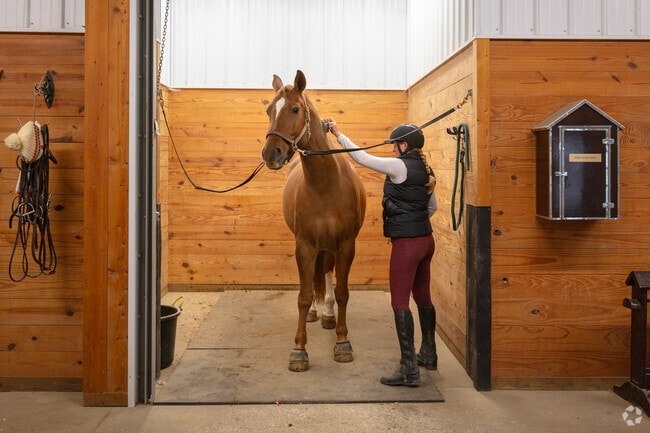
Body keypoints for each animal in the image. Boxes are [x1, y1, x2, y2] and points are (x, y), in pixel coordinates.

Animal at [262, 70, 366, 372]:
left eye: (295, 109)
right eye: (269, 110)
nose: (271, 154)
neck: (325, 184)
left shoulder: (346, 245)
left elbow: (342, 291)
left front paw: (342, 342)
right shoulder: (305, 246)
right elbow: (304, 294)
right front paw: (299, 349)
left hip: (331, 247)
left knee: (329, 273)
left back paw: (329, 315)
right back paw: (314, 313)